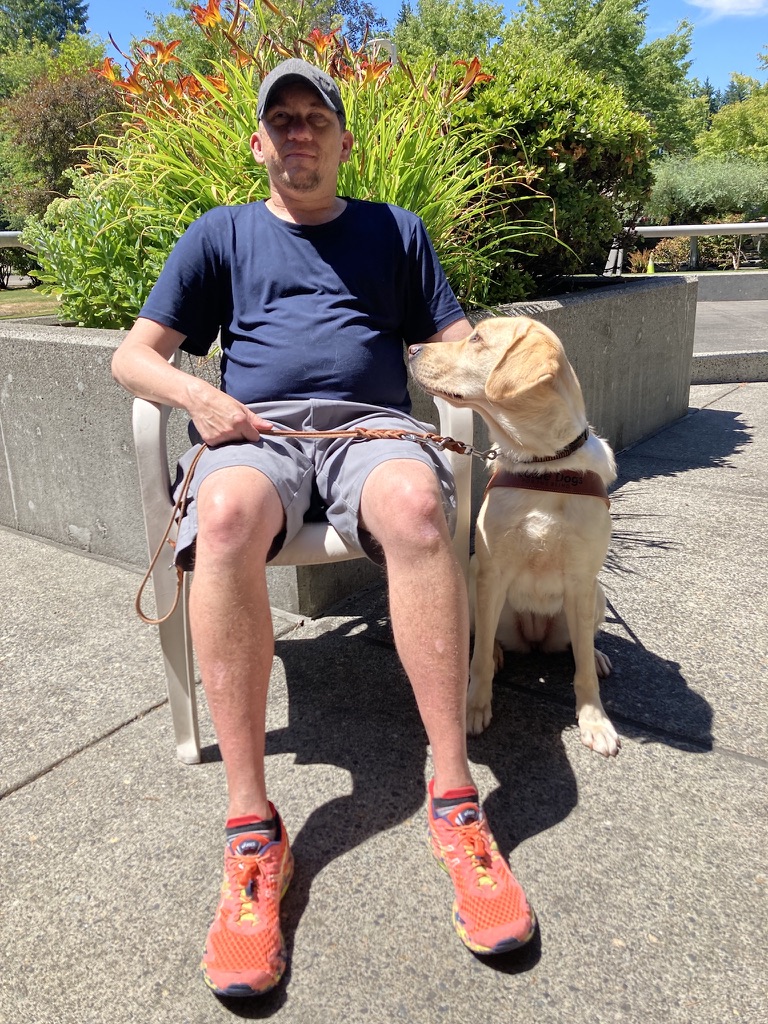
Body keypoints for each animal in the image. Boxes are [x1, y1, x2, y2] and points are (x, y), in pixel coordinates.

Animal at [411, 315, 622, 757]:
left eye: (476, 339)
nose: (411, 349)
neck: (544, 465)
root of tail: (534, 638)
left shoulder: (581, 580)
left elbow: (582, 673)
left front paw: (595, 720)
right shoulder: (492, 572)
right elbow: (476, 662)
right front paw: (474, 708)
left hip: (595, 596)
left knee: (580, 645)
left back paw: (595, 655)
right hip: (474, 584)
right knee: (485, 639)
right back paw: (495, 652)